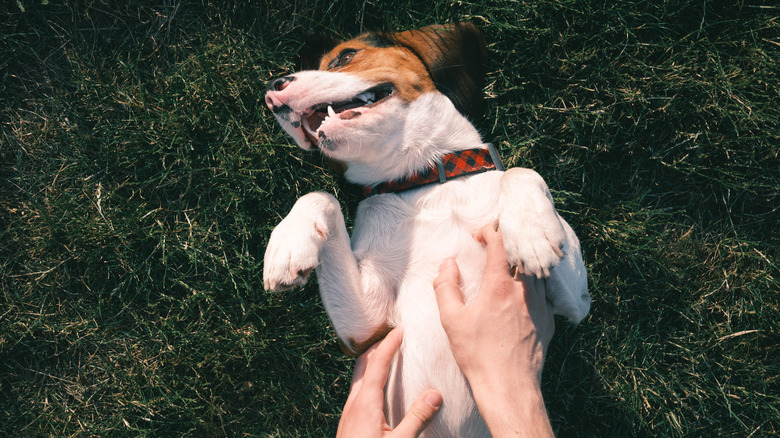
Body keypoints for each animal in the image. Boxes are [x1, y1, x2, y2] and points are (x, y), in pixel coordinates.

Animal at [264, 23, 592, 434]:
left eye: (345, 56)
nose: (271, 90)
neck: (426, 179)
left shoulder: (574, 306)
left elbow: (520, 171)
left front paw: (531, 233)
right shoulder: (366, 331)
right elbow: (320, 194)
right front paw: (287, 246)